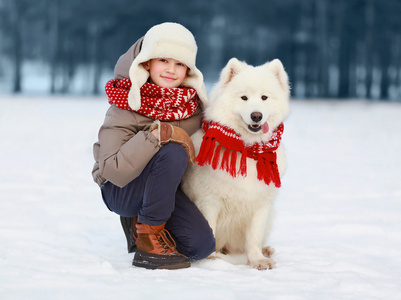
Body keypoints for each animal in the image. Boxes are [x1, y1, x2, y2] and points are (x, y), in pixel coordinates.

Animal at [180, 57, 288, 270]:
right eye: (243, 98)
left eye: (264, 97)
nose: (256, 116)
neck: (247, 148)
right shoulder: (209, 201)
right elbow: (210, 231)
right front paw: (211, 259)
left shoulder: (261, 205)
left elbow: (254, 237)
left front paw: (257, 260)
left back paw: (265, 250)